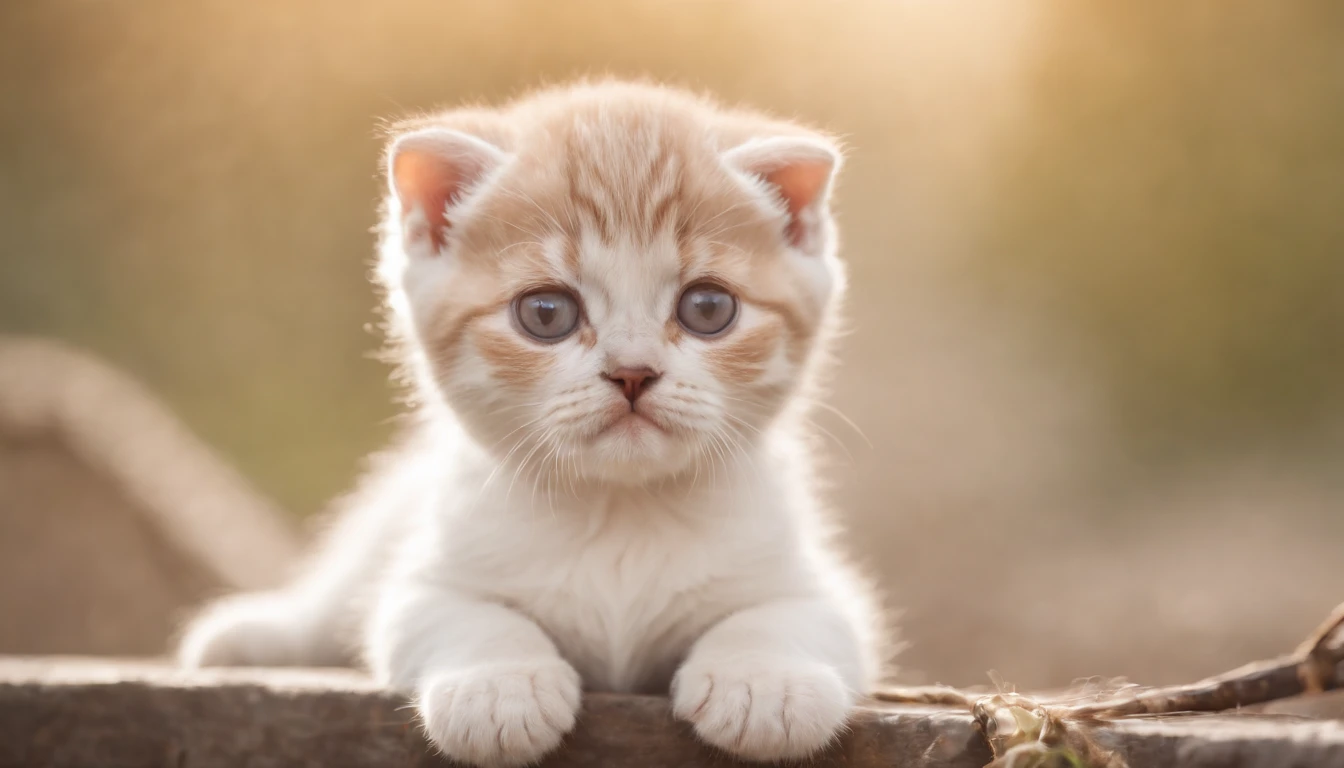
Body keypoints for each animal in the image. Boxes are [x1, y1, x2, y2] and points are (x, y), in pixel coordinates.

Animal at [181, 81, 892, 763]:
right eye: (546, 313)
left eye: (708, 308)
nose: (632, 372)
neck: (619, 513)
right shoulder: (429, 576)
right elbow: (451, 613)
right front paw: (498, 686)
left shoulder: (816, 582)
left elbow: (794, 616)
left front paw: (767, 681)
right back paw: (253, 635)